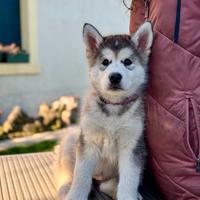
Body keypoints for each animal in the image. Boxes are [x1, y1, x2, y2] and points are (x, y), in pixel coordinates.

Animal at [57, 21, 154, 200]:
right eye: (105, 62)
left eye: (127, 61)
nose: (115, 76)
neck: (113, 108)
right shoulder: (88, 142)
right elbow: (81, 178)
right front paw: (75, 195)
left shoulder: (132, 146)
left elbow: (127, 182)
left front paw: (128, 195)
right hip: (71, 142)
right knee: (68, 176)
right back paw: (65, 189)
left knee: (107, 184)